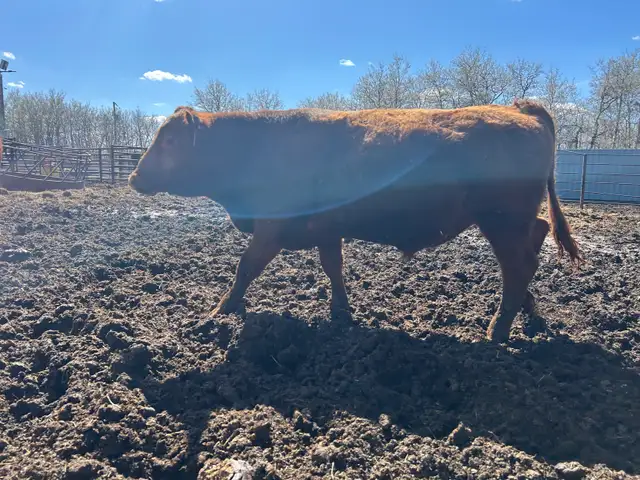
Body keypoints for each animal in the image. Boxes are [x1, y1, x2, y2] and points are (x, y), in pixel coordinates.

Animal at [128, 99, 582, 343]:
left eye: (169, 140)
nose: (134, 177)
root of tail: (519, 108)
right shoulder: (326, 228)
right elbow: (334, 268)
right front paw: (341, 312)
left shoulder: (271, 228)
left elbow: (245, 268)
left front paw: (220, 310)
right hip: (514, 221)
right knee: (535, 243)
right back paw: (528, 311)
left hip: (501, 220)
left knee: (519, 265)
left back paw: (498, 329)